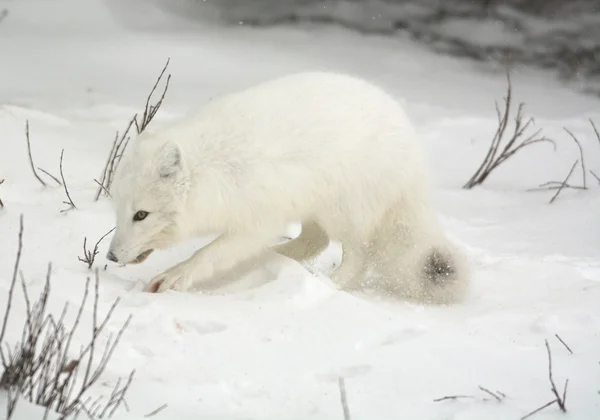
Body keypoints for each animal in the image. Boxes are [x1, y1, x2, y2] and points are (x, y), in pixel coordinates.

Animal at [106, 71, 468, 302]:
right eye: (118, 211)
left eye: (142, 215)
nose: (110, 256)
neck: (214, 168)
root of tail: (416, 161)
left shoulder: (256, 220)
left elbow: (207, 254)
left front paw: (174, 276)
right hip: (313, 206)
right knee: (315, 241)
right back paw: (275, 258)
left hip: (345, 209)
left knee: (357, 257)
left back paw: (327, 286)